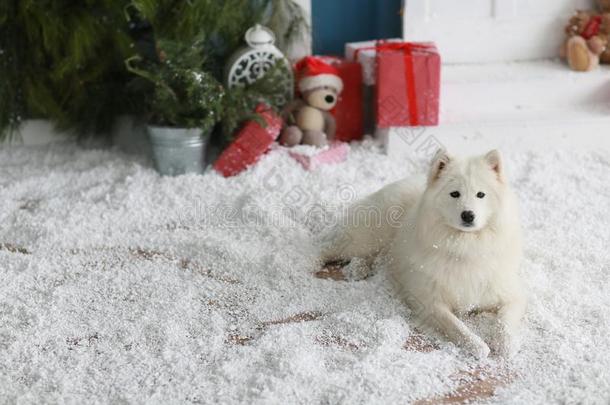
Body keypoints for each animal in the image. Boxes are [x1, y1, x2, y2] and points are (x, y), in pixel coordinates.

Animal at [320, 148, 524, 356]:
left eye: (481, 194)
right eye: (455, 194)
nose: (468, 215)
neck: (465, 246)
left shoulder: (512, 295)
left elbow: (505, 321)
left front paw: (506, 344)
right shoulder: (429, 301)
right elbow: (456, 326)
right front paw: (477, 345)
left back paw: (358, 268)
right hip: (363, 241)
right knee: (323, 248)